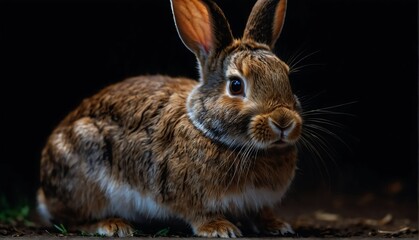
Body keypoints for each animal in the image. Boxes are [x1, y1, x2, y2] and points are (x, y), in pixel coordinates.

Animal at [37, 0, 304, 237]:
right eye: (236, 86)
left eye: (287, 77)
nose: (283, 121)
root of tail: (44, 193)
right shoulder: (187, 195)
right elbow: (199, 214)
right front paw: (219, 228)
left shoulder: (259, 202)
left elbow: (261, 213)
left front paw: (278, 225)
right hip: (84, 164)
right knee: (73, 219)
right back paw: (112, 225)